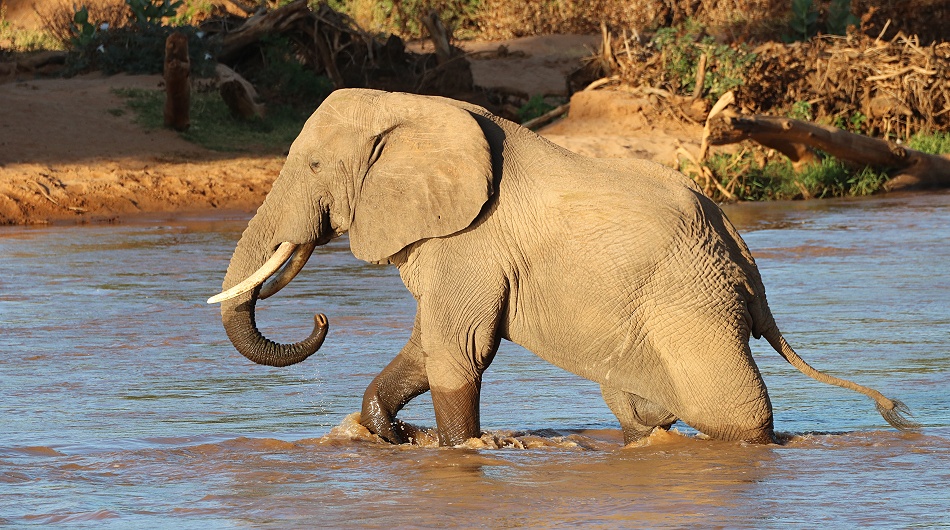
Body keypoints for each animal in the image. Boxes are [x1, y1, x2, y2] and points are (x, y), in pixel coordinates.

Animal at [208, 88, 918, 446]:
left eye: (313, 166)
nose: (320, 317)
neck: (413, 108)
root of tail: (746, 256)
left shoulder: (473, 241)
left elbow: (460, 346)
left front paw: (462, 450)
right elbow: (430, 342)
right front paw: (392, 433)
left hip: (692, 297)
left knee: (734, 411)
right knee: (635, 405)